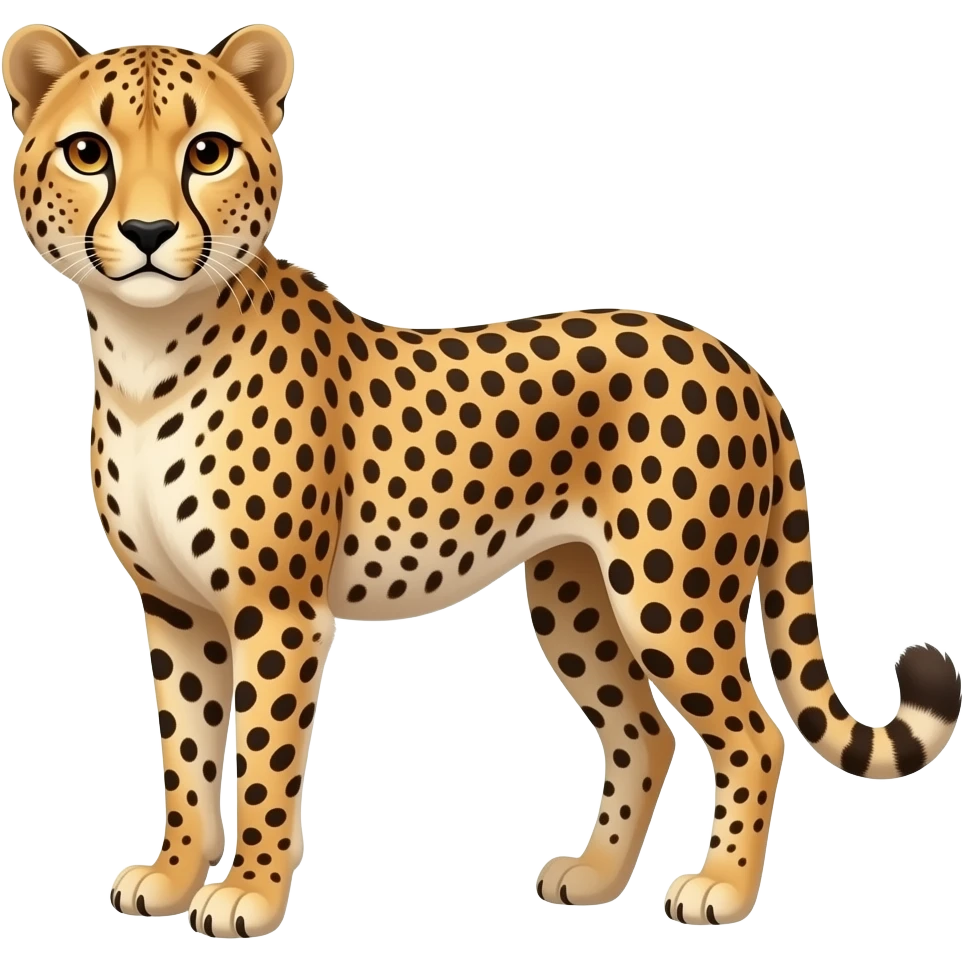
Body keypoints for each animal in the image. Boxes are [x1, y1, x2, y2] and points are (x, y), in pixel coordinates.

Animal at [4, 21, 960, 936]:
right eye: (88, 151)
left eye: (207, 151)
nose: (149, 236)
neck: (146, 349)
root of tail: (737, 361)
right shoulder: (174, 608)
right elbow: (186, 752)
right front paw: (172, 874)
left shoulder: (275, 610)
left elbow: (266, 761)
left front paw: (249, 893)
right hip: (575, 596)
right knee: (643, 733)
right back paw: (594, 876)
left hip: (669, 596)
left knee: (754, 734)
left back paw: (719, 887)